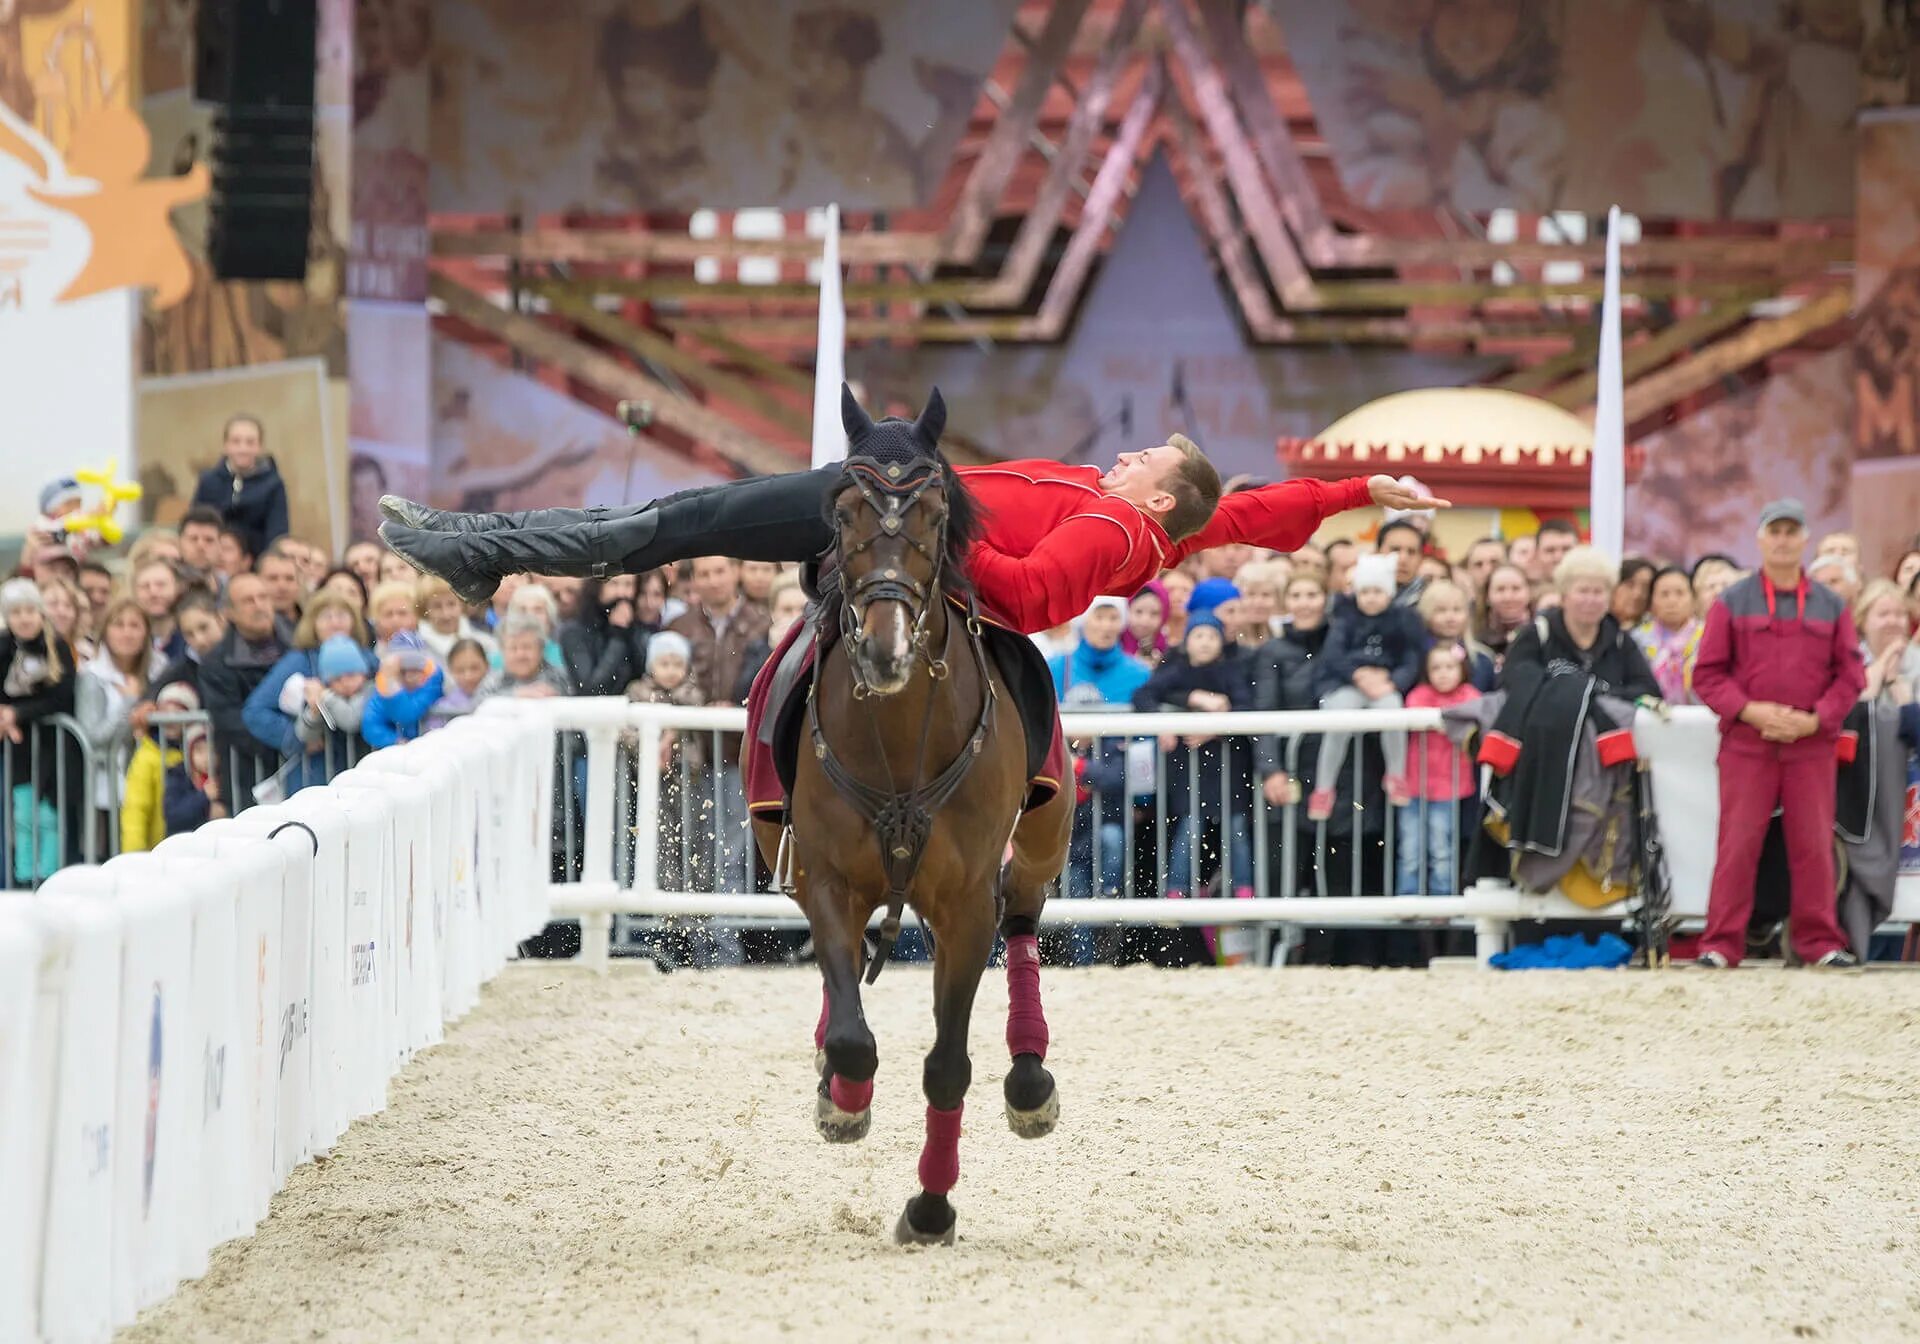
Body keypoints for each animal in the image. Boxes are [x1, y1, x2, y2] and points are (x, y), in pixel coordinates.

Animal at [744, 384, 1075, 1244]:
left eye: (932, 512)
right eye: (843, 512)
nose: (886, 647)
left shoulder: (963, 907)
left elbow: (948, 1066)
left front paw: (930, 1208)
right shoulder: (826, 879)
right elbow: (854, 1038)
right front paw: (844, 1100)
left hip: (1045, 829)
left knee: (1023, 908)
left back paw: (1030, 1076)